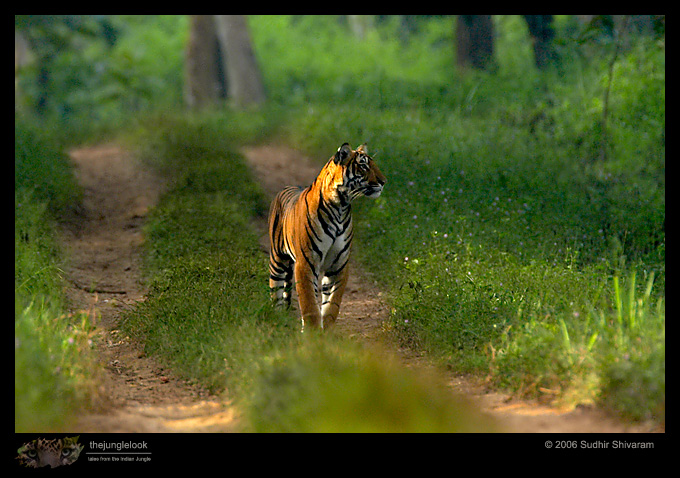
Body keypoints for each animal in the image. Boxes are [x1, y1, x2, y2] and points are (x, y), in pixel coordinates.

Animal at [268, 143, 386, 331]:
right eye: (363, 165)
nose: (383, 181)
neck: (340, 206)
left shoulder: (339, 265)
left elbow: (332, 304)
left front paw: (326, 331)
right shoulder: (306, 263)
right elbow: (309, 303)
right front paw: (312, 333)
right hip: (277, 260)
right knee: (276, 293)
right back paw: (277, 319)